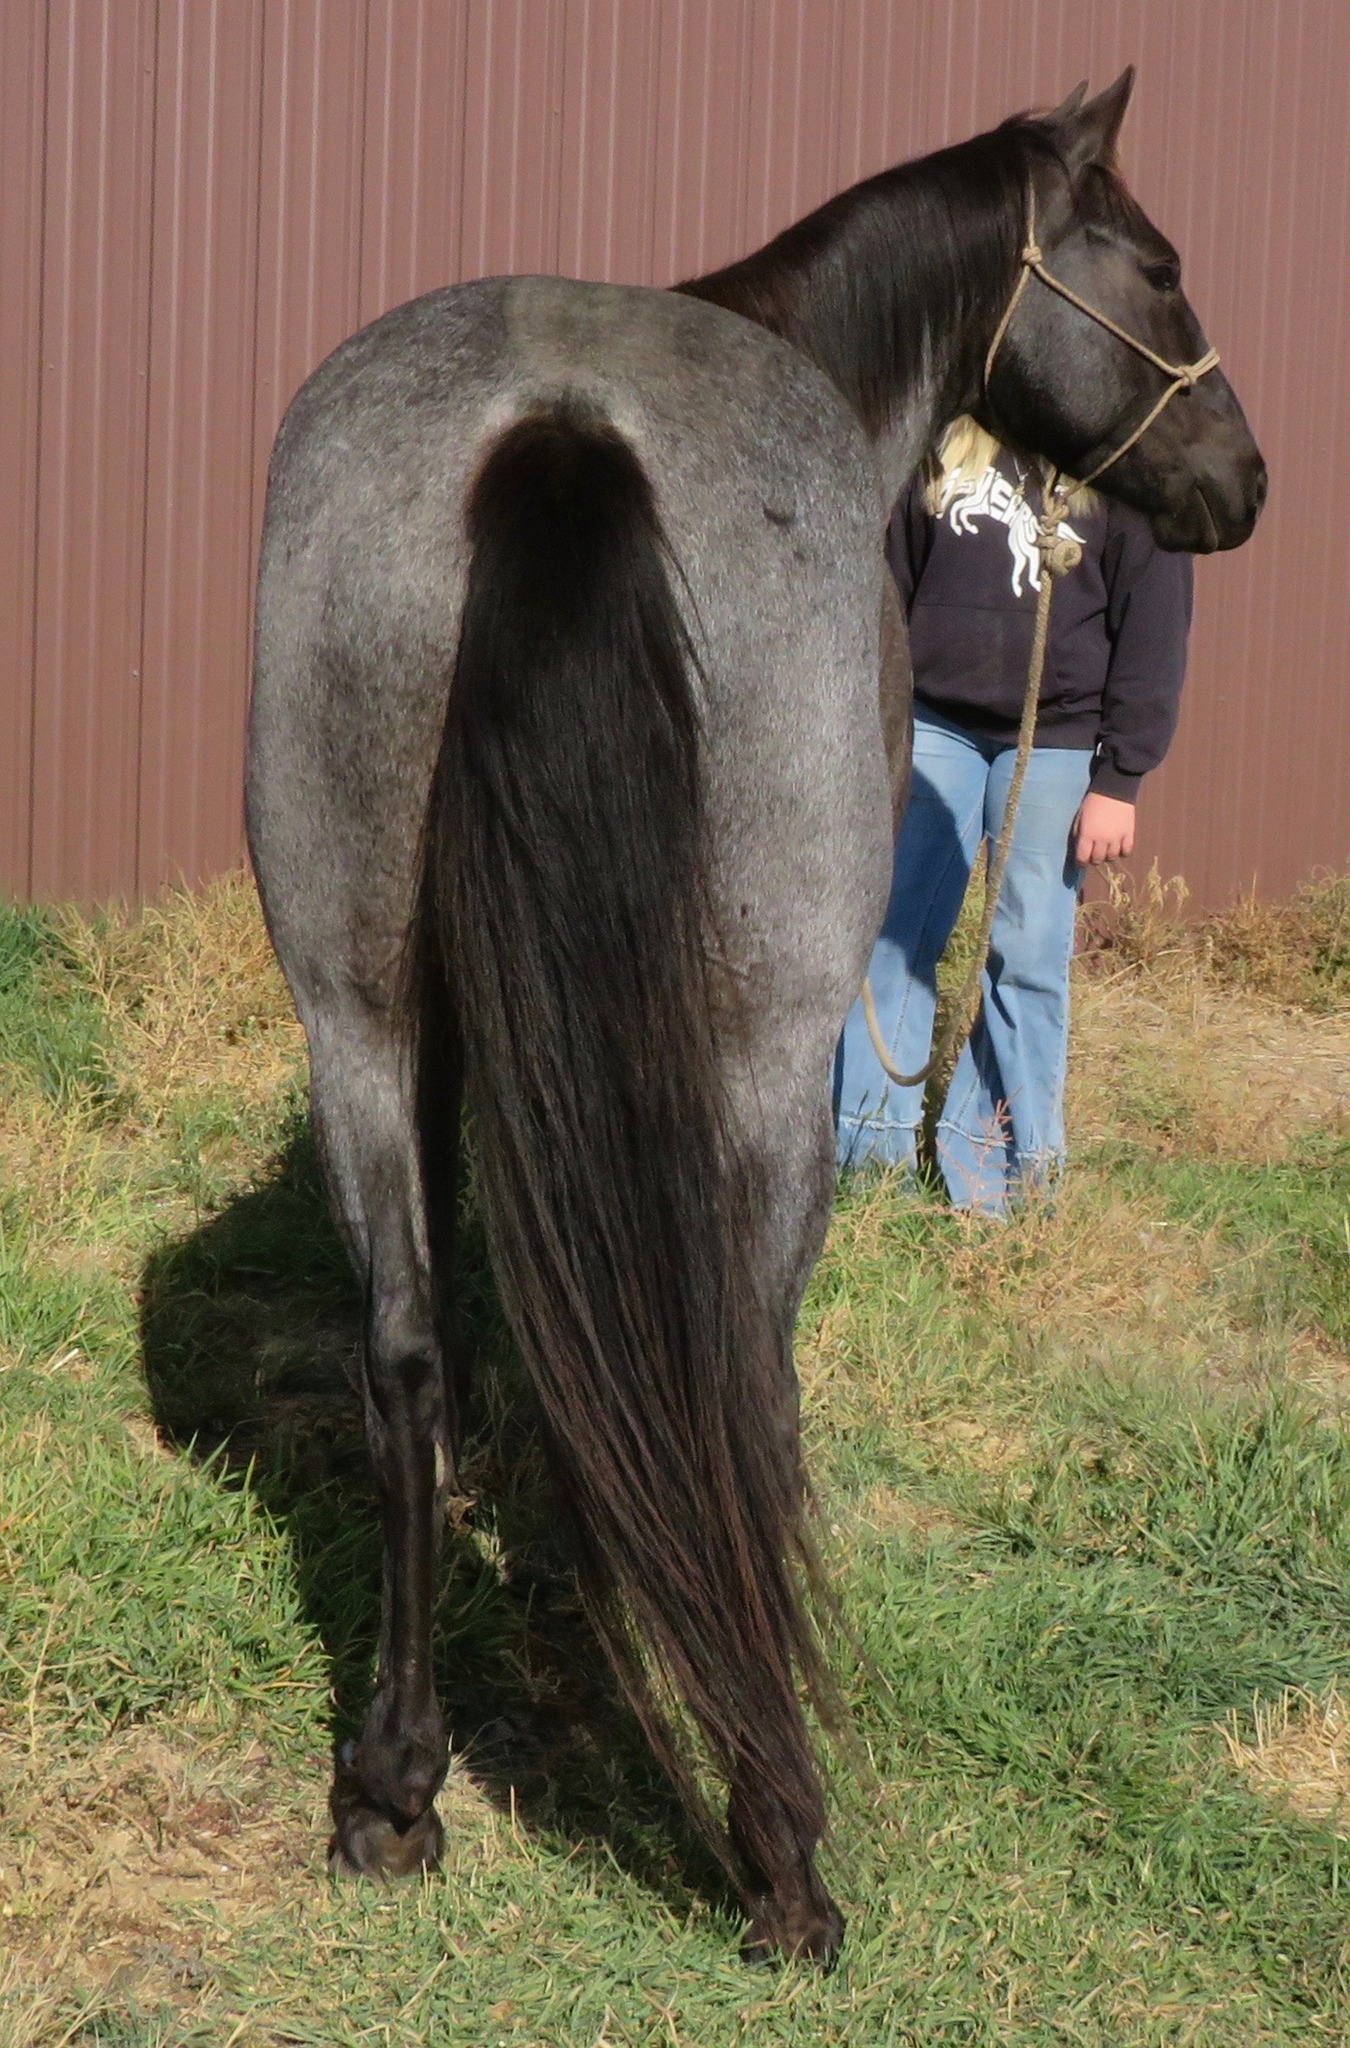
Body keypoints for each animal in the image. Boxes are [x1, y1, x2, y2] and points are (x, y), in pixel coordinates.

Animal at [246, 70, 1265, 1965]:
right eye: (1156, 265)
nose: (1242, 479)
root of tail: (553, 428)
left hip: (353, 1010)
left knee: (408, 1356)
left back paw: (397, 1787)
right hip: (760, 1054)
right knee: (731, 1367)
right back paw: (779, 1844)